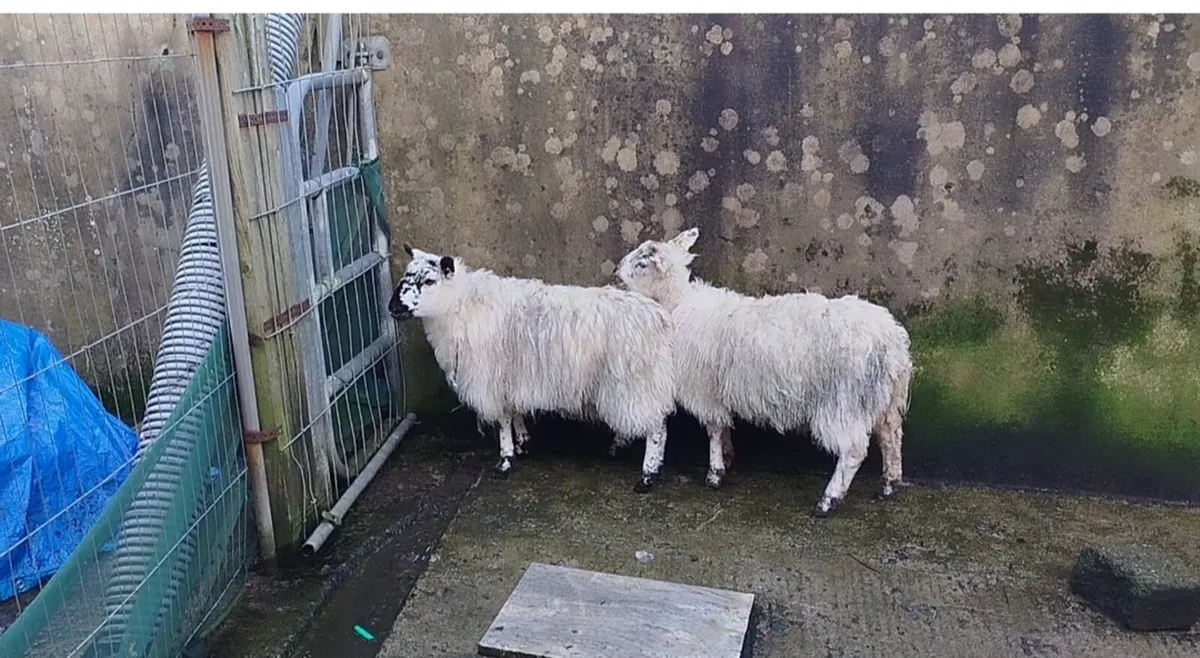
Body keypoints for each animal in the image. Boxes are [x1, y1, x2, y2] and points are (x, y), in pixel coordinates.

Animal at [388, 244, 677, 492]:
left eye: (429, 281)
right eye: (406, 274)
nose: (393, 307)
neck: (459, 307)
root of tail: (659, 317)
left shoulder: (493, 379)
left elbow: (503, 420)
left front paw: (505, 460)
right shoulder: (512, 378)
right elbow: (515, 412)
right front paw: (523, 442)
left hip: (636, 381)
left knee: (657, 428)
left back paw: (648, 476)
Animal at [614, 228, 913, 517]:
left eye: (642, 262)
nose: (616, 272)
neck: (677, 303)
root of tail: (892, 340)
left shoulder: (705, 390)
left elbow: (713, 429)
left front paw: (714, 474)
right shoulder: (718, 391)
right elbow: (723, 427)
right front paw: (728, 456)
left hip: (844, 402)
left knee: (853, 451)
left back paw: (828, 501)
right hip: (886, 400)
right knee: (891, 436)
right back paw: (889, 485)